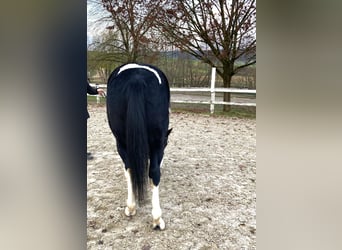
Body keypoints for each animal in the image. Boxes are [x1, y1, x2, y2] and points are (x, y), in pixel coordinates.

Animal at [106, 63, 171, 230]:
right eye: (167, 143)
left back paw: (131, 207)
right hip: (155, 143)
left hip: (122, 142)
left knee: (129, 169)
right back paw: (157, 219)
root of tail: (136, 79)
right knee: (154, 172)